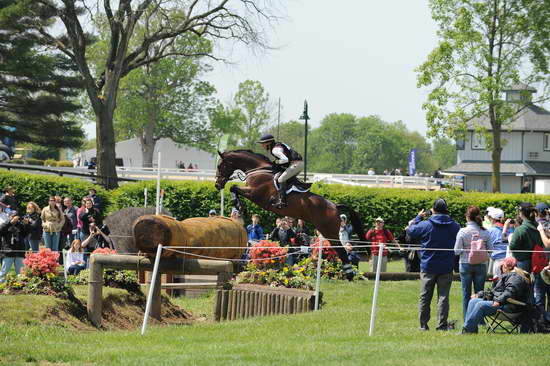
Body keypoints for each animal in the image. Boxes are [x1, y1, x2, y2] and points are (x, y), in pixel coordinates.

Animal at [216, 149, 366, 280]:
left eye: (220, 165)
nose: (217, 184)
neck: (258, 170)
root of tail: (335, 207)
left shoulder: (255, 194)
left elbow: (234, 187)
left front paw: (239, 205)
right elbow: (234, 188)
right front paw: (239, 206)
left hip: (330, 231)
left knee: (342, 250)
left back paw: (349, 275)